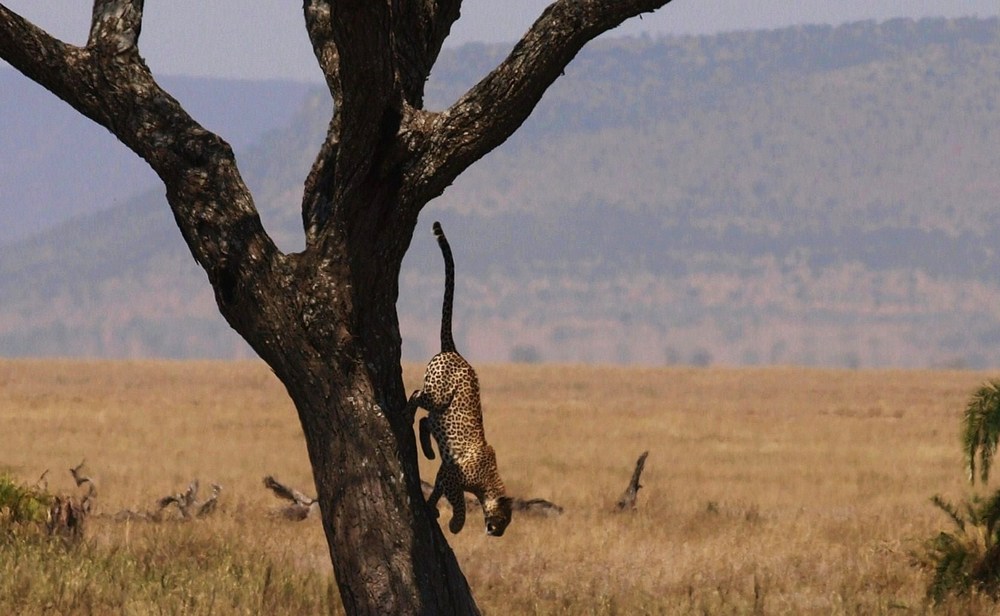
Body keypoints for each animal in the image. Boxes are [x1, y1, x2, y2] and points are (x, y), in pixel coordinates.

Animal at [402, 221, 512, 536]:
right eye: (504, 520)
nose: (498, 533)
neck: (489, 483)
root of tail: (454, 350)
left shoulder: (445, 471)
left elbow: (439, 488)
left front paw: (432, 508)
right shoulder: (453, 474)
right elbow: (459, 501)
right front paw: (455, 524)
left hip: (440, 413)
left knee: (426, 421)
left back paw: (427, 452)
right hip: (438, 395)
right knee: (417, 396)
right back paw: (406, 415)